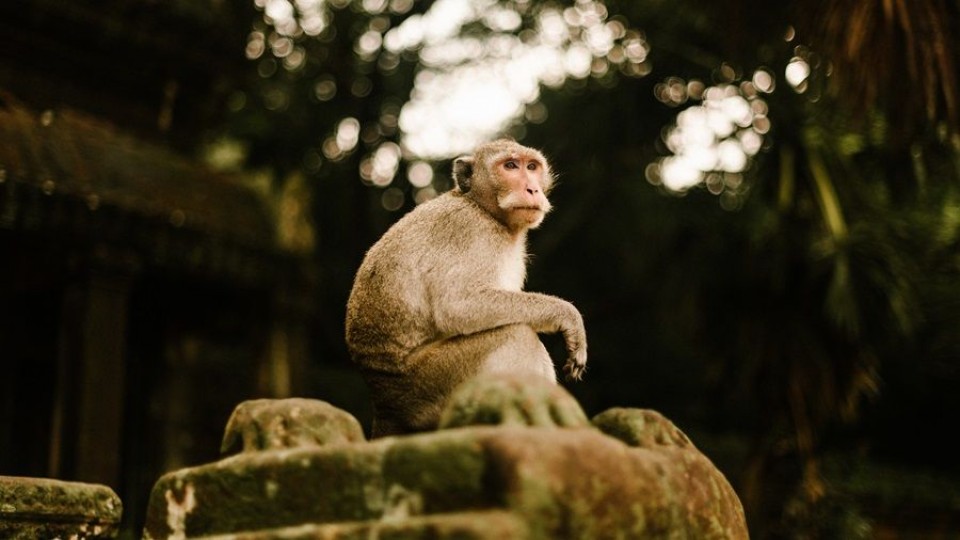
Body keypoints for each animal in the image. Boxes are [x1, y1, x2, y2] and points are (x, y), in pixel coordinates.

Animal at [344, 139, 584, 438]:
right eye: (510, 166)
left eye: (532, 167)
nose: (533, 189)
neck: (481, 207)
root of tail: (384, 407)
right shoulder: (470, 231)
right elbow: (458, 306)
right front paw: (567, 315)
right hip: (429, 387)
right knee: (516, 335)